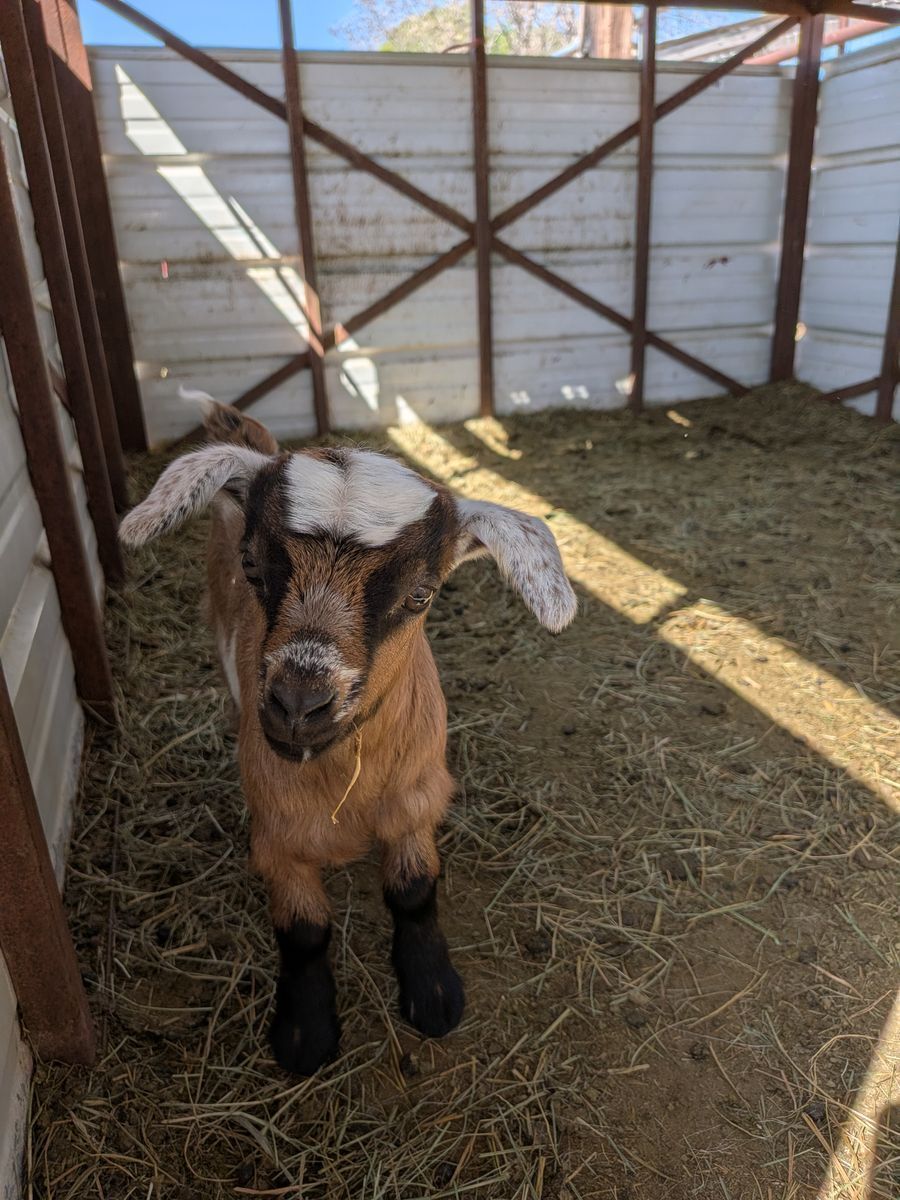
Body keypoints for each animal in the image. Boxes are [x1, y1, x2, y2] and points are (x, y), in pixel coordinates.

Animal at [120, 395, 576, 1075]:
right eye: (252, 567)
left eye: (421, 594)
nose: (298, 705)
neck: (347, 791)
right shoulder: (276, 833)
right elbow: (304, 930)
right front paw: (305, 1035)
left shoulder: (416, 800)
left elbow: (413, 891)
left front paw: (433, 994)